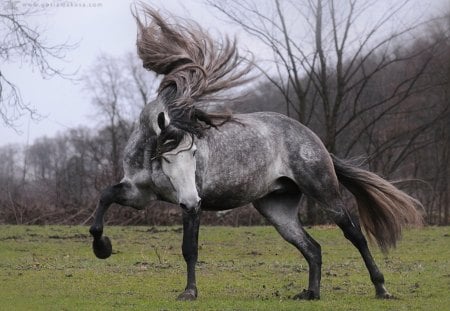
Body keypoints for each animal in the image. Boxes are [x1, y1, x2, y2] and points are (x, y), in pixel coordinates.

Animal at [88, 6, 422, 302]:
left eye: (195, 153)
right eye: (166, 157)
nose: (191, 199)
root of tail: (312, 139)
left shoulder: (190, 208)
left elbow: (189, 249)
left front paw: (189, 292)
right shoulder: (138, 195)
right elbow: (105, 198)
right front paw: (102, 247)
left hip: (325, 194)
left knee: (355, 235)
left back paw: (381, 288)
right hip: (277, 209)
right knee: (312, 247)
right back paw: (311, 293)